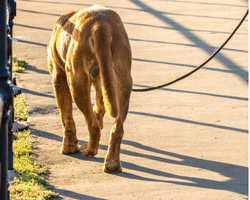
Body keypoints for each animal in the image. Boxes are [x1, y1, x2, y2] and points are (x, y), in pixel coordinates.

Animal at [47, 5, 133, 173]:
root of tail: (101, 25)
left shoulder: (58, 77)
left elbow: (66, 118)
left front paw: (69, 148)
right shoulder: (104, 83)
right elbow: (99, 107)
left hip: (76, 81)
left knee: (92, 126)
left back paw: (89, 151)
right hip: (123, 82)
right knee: (117, 129)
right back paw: (112, 164)